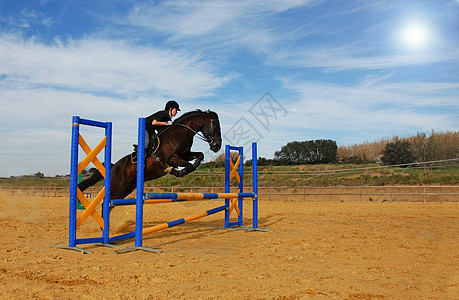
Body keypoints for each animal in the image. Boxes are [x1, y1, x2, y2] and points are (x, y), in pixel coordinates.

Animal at [78, 109, 222, 199]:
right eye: (216, 126)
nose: (217, 146)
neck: (180, 133)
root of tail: (113, 166)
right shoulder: (172, 158)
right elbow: (188, 166)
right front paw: (179, 172)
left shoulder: (185, 154)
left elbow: (200, 156)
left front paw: (184, 169)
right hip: (118, 187)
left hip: (126, 188)